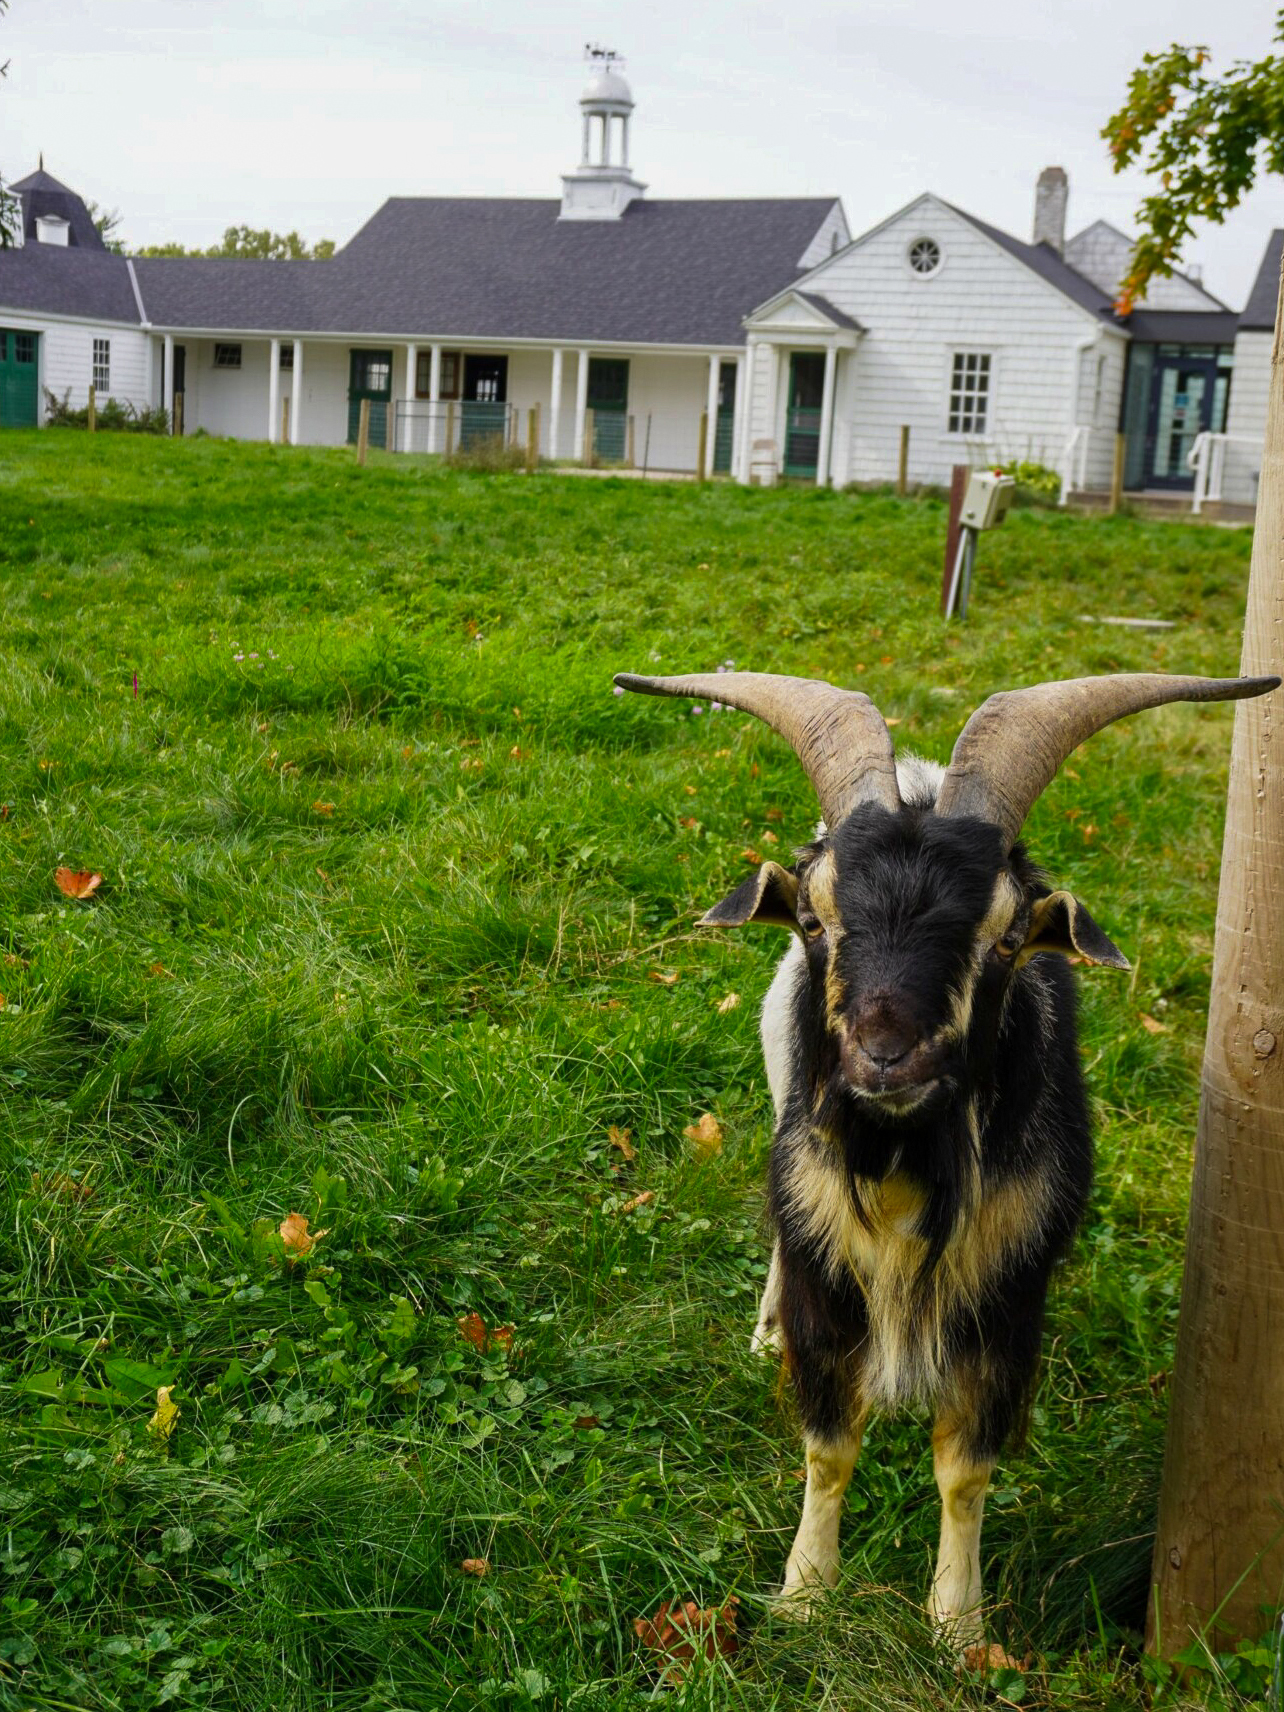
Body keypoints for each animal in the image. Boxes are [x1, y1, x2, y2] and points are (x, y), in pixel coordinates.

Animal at [614, 667, 1276, 1648]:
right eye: (813, 918)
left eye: (1005, 937)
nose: (887, 1055)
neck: (904, 1166)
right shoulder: (826, 1260)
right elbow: (827, 1446)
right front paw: (806, 1593)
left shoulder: (1006, 1293)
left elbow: (964, 1470)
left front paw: (958, 1627)